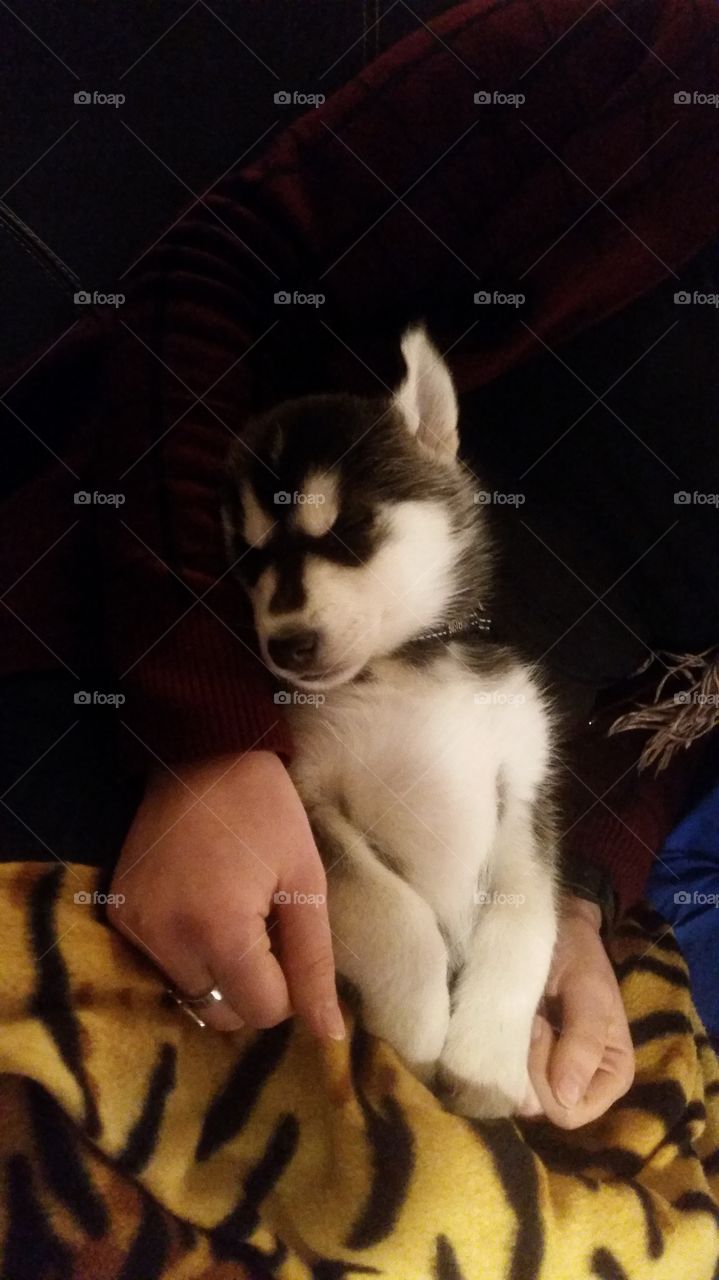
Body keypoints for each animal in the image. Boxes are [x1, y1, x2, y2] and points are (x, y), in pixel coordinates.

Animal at [221, 325, 557, 1116]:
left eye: (348, 530)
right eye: (248, 561)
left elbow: (529, 923)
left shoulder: (524, 793)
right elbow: (399, 918)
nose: (285, 644)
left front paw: (488, 1065)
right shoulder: (309, 798)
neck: (405, 670)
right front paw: (414, 1037)